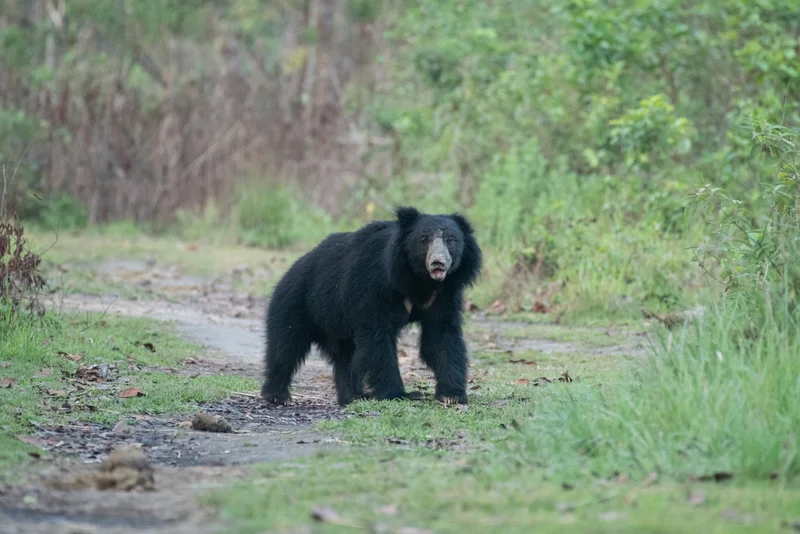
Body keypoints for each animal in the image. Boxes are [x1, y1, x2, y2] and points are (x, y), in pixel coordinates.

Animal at [261, 206, 482, 407]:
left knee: (345, 357)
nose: (438, 263)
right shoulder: (375, 286)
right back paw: (277, 395)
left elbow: (441, 336)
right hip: (296, 304)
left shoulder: (444, 295)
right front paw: (400, 394)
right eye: (424, 240)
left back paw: (353, 396)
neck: (420, 281)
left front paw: (451, 395)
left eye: (451, 240)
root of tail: (291, 270)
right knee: (285, 347)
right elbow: (377, 338)